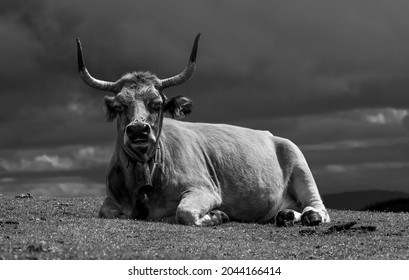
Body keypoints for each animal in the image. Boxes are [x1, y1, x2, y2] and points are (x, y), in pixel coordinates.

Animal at [75, 34, 328, 228]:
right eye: (119, 106)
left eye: (157, 104)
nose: (138, 130)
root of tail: (271, 135)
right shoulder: (111, 200)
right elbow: (104, 211)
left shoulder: (205, 189)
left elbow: (184, 213)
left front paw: (218, 215)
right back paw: (286, 215)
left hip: (300, 163)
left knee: (319, 206)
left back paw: (311, 216)